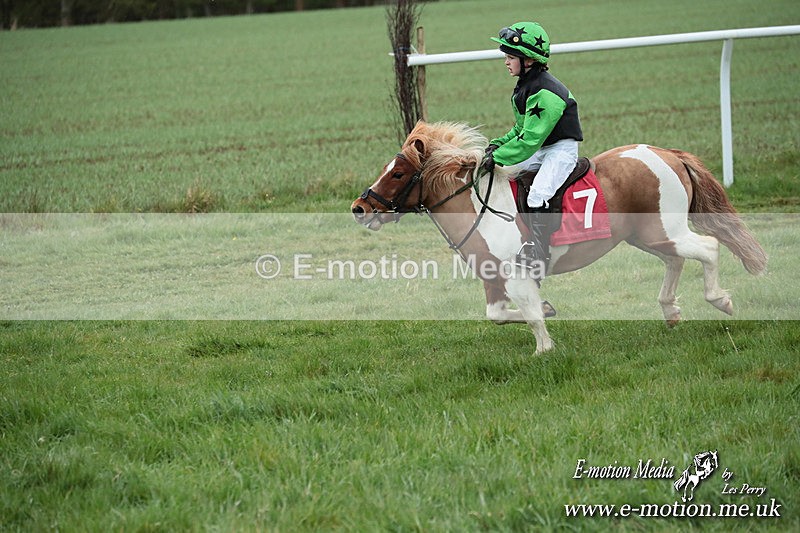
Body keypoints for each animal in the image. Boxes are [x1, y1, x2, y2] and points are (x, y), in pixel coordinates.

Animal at [350, 121, 767, 353]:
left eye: (398, 174)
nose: (359, 207)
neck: (481, 208)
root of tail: (668, 153)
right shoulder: (492, 278)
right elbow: (499, 315)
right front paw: (548, 312)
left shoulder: (517, 275)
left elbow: (531, 315)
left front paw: (544, 350)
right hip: (648, 236)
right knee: (675, 259)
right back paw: (670, 310)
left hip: (666, 230)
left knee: (707, 248)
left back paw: (720, 300)